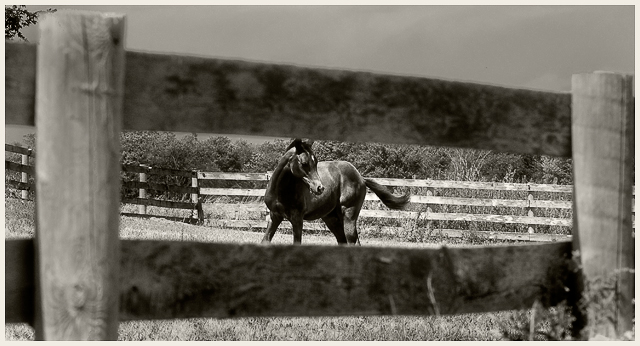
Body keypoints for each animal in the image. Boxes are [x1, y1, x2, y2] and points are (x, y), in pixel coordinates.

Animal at [262, 139, 408, 246]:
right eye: (303, 163)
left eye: (316, 162)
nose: (320, 188)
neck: (281, 192)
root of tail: (361, 178)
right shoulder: (274, 217)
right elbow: (265, 241)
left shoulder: (297, 219)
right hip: (332, 218)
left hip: (348, 214)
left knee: (352, 241)